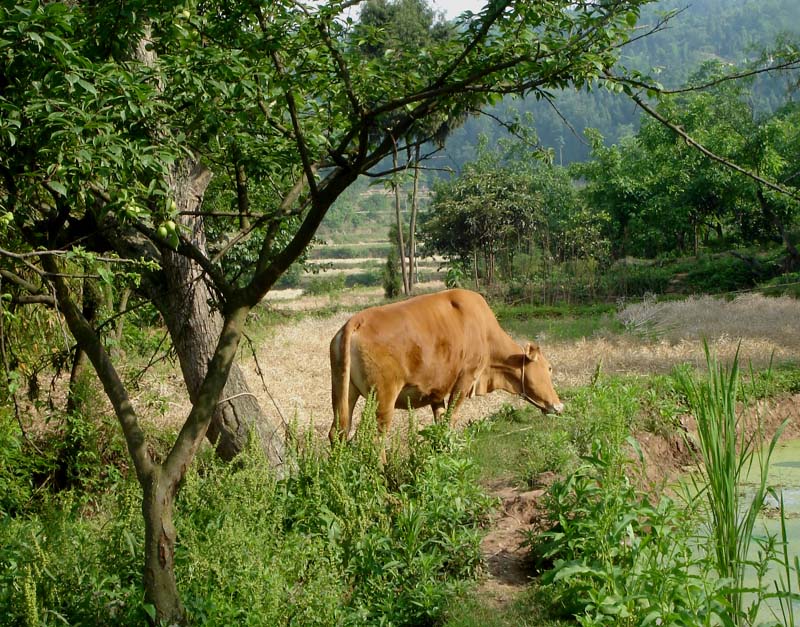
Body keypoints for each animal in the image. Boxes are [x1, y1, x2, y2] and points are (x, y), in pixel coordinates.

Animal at [324, 290, 564, 446]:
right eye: (549, 368)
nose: (559, 406)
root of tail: (355, 321)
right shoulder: (465, 379)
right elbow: (450, 419)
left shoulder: (436, 391)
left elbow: (440, 422)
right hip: (383, 397)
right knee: (375, 438)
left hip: (343, 390)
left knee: (339, 432)